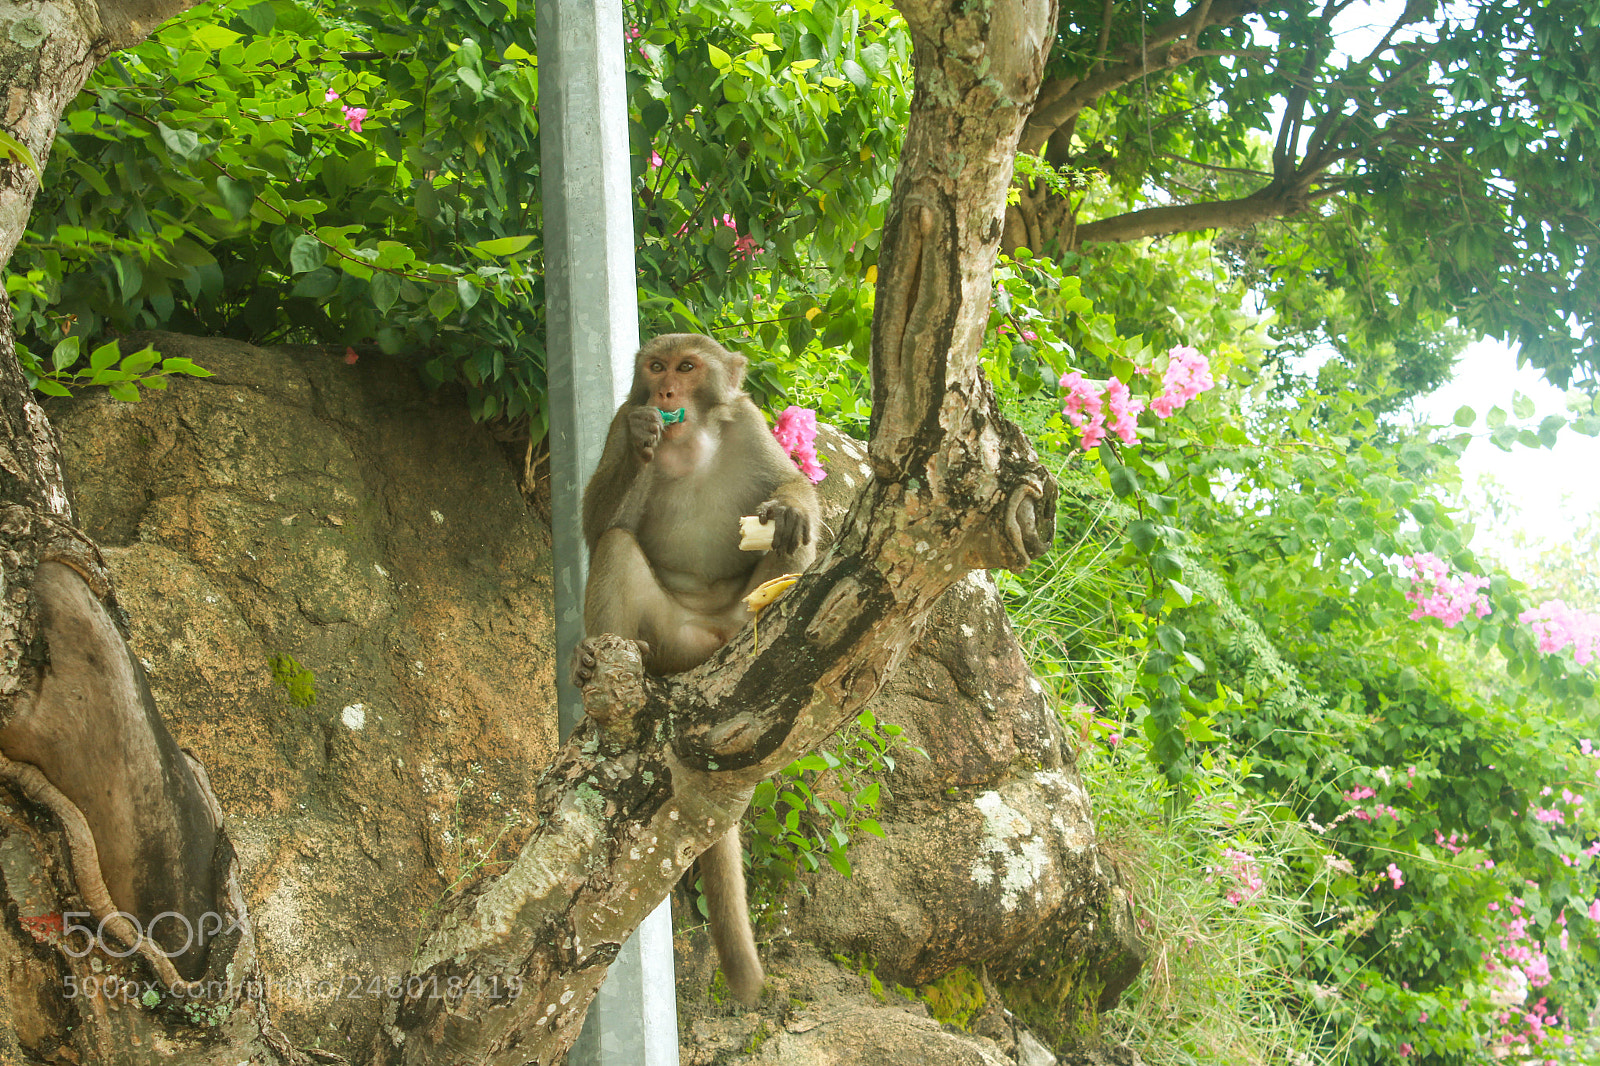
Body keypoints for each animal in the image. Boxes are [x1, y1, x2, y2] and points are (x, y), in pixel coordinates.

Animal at [570, 333, 820, 1007]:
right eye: (655, 366)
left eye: (687, 366)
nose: (664, 392)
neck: (689, 442)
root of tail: (708, 644)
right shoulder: (611, 422)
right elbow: (596, 528)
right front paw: (643, 433)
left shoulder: (751, 424)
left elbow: (792, 487)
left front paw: (790, 508)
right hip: (668, 638)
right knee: (618, 547)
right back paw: (592, 661)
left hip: (739, 621)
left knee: (791, 548)